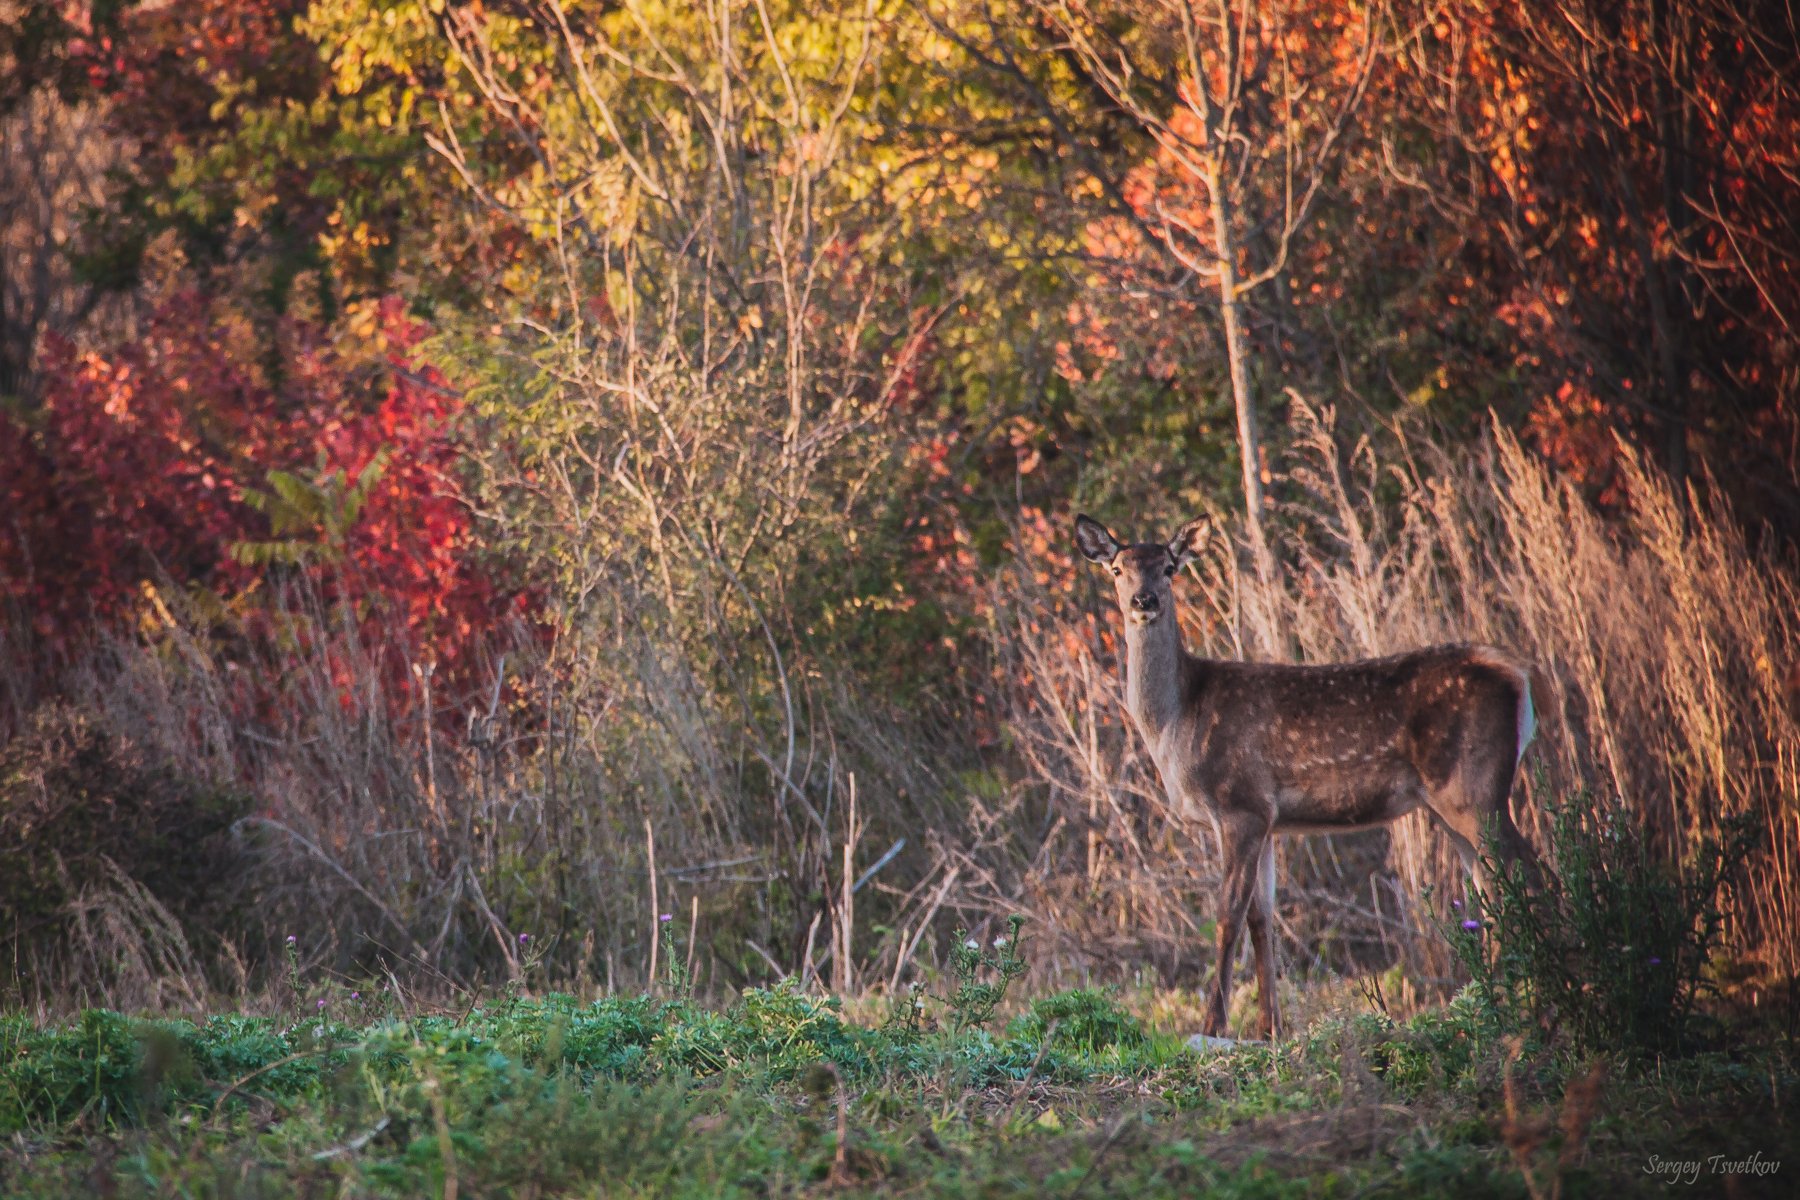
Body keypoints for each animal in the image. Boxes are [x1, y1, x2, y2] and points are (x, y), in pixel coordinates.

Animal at [1072, 510, 1540, 1043]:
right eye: (1117, 569)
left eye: (1170, 568)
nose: (1143, 600)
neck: (1177, 721)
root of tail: (1519, 676)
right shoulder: (1267, 819)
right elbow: (1262, 918)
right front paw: (1269, 1029)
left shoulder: (1239, 803)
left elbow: (1227, 915)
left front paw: (1213, 1026)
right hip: (1453, 804)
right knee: (1490, 886)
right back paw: (1494, 1001)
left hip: (1474, 788)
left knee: (1527, 871)